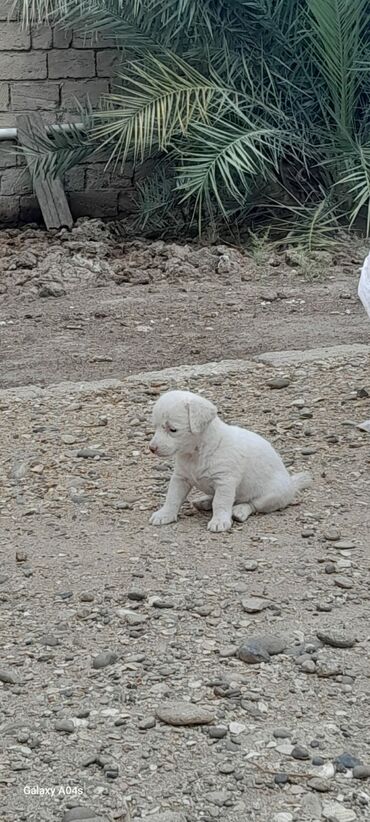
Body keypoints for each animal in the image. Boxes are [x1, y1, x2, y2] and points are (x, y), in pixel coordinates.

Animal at [149, 392, 310, 536]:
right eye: (155, 427)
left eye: (173, 429)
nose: (151, 448)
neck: (197, 452)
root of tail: (292, 483)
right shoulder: (180, 478)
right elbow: (172, 497)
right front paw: (164, 514)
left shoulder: (225, 481)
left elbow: (220, 502)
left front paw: (219, 521)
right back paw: (204, 501)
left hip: (272, 495)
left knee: (252, 504)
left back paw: (239, 510)